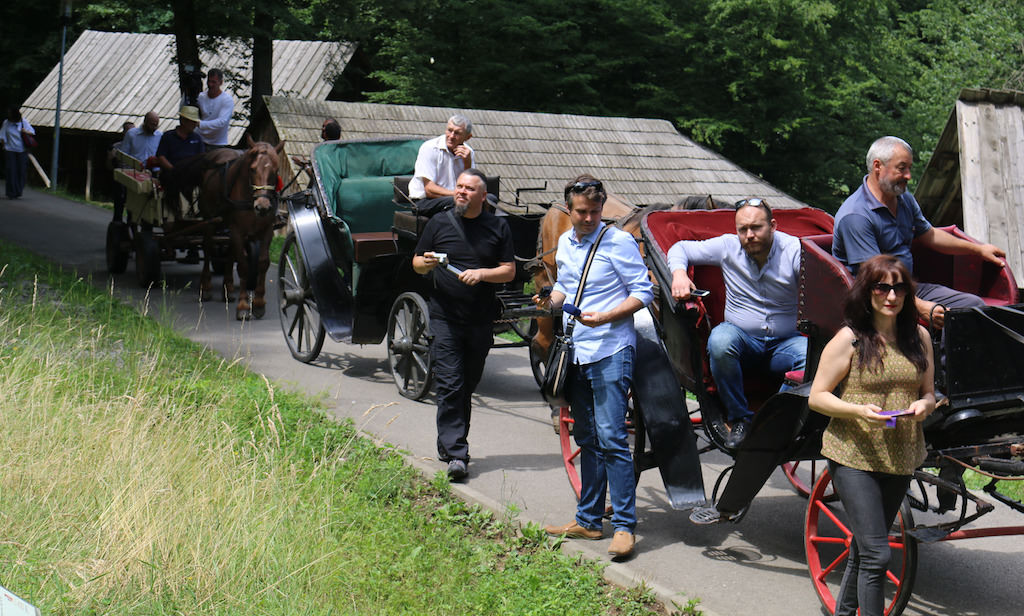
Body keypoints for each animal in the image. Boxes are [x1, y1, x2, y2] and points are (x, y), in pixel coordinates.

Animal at [195, 137, 286, 319]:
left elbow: (263, 262)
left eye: (275, 170)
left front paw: (258, 303)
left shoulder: (267, 231)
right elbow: (243, 264)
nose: (263, 207)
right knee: (208, 247)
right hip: (211, 220)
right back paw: (206, 286)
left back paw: (228, 287)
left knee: (230, 252)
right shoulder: (238, 230)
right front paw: (243, 305)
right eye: (252, 169)